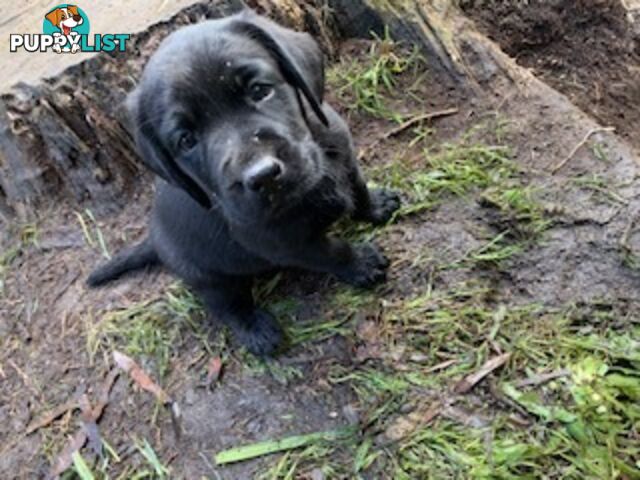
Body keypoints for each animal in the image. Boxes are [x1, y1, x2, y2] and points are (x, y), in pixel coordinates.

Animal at [89, 10, 400, 356]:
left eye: (260, 90)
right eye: (186, 140)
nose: (262, 175)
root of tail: (154, 240)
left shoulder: (344, 153)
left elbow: (358, 190)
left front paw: (376, 206)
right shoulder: (287, 244)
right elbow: (332, 252)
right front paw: (360, 264)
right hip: (209, 278)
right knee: (226, 306)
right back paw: (255, 330)